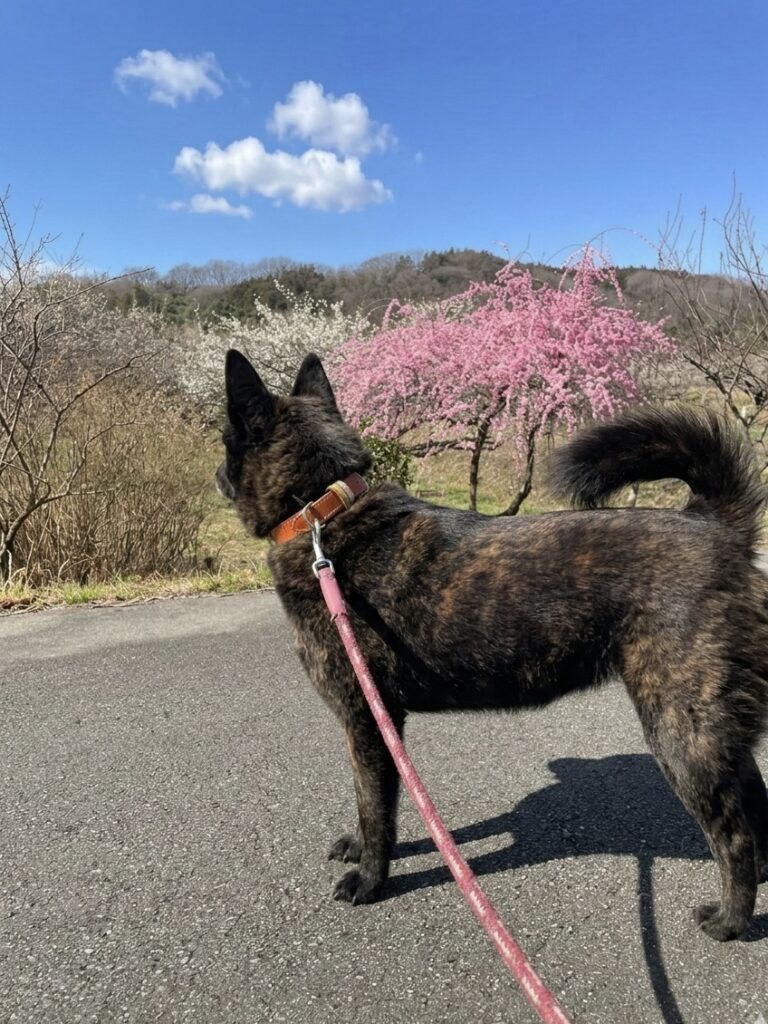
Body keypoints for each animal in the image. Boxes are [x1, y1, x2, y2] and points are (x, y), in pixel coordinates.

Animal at [217, 348, 768, 941]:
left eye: (225, 439)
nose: (215, 474)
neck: (321, 512)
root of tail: (717, 526)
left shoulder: (366, 717)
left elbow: (374, 806)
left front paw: (370, 879)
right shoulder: (380, 726)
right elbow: (381, 804)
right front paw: (362, 851)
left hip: (681, 733)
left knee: (735, 835)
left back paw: (732, 919)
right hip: (714, 731)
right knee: (756, 804)